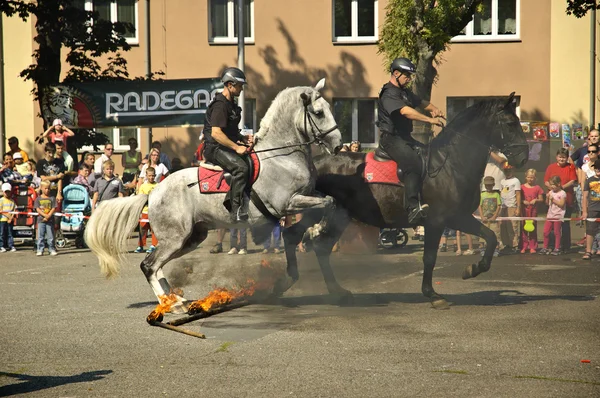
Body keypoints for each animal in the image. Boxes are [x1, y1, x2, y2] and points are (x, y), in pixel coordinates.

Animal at [84, 79, 342, 312]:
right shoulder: (288, 203)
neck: (282, 157)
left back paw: (177, 300)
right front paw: (316, 231)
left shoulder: (307, 195)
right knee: (149, 266)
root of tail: (153, 192)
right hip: (174, 238)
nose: (339, 146)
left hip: (190, 238)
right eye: (318, 113)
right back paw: (170, 304)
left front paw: (313, 232)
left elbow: (330, 202)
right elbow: (328, 204)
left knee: (157, 266)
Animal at [282, 93, 528, 308]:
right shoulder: (437, 221)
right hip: (320, 212)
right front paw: (432, 295)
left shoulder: (459, 217)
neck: (450, 164)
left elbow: (491, 237)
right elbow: (429, 258)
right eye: (509, 123)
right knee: (300, 239)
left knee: (312, 244)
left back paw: (328, 290)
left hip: (335, 216)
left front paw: (473, 269)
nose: (523, 158)